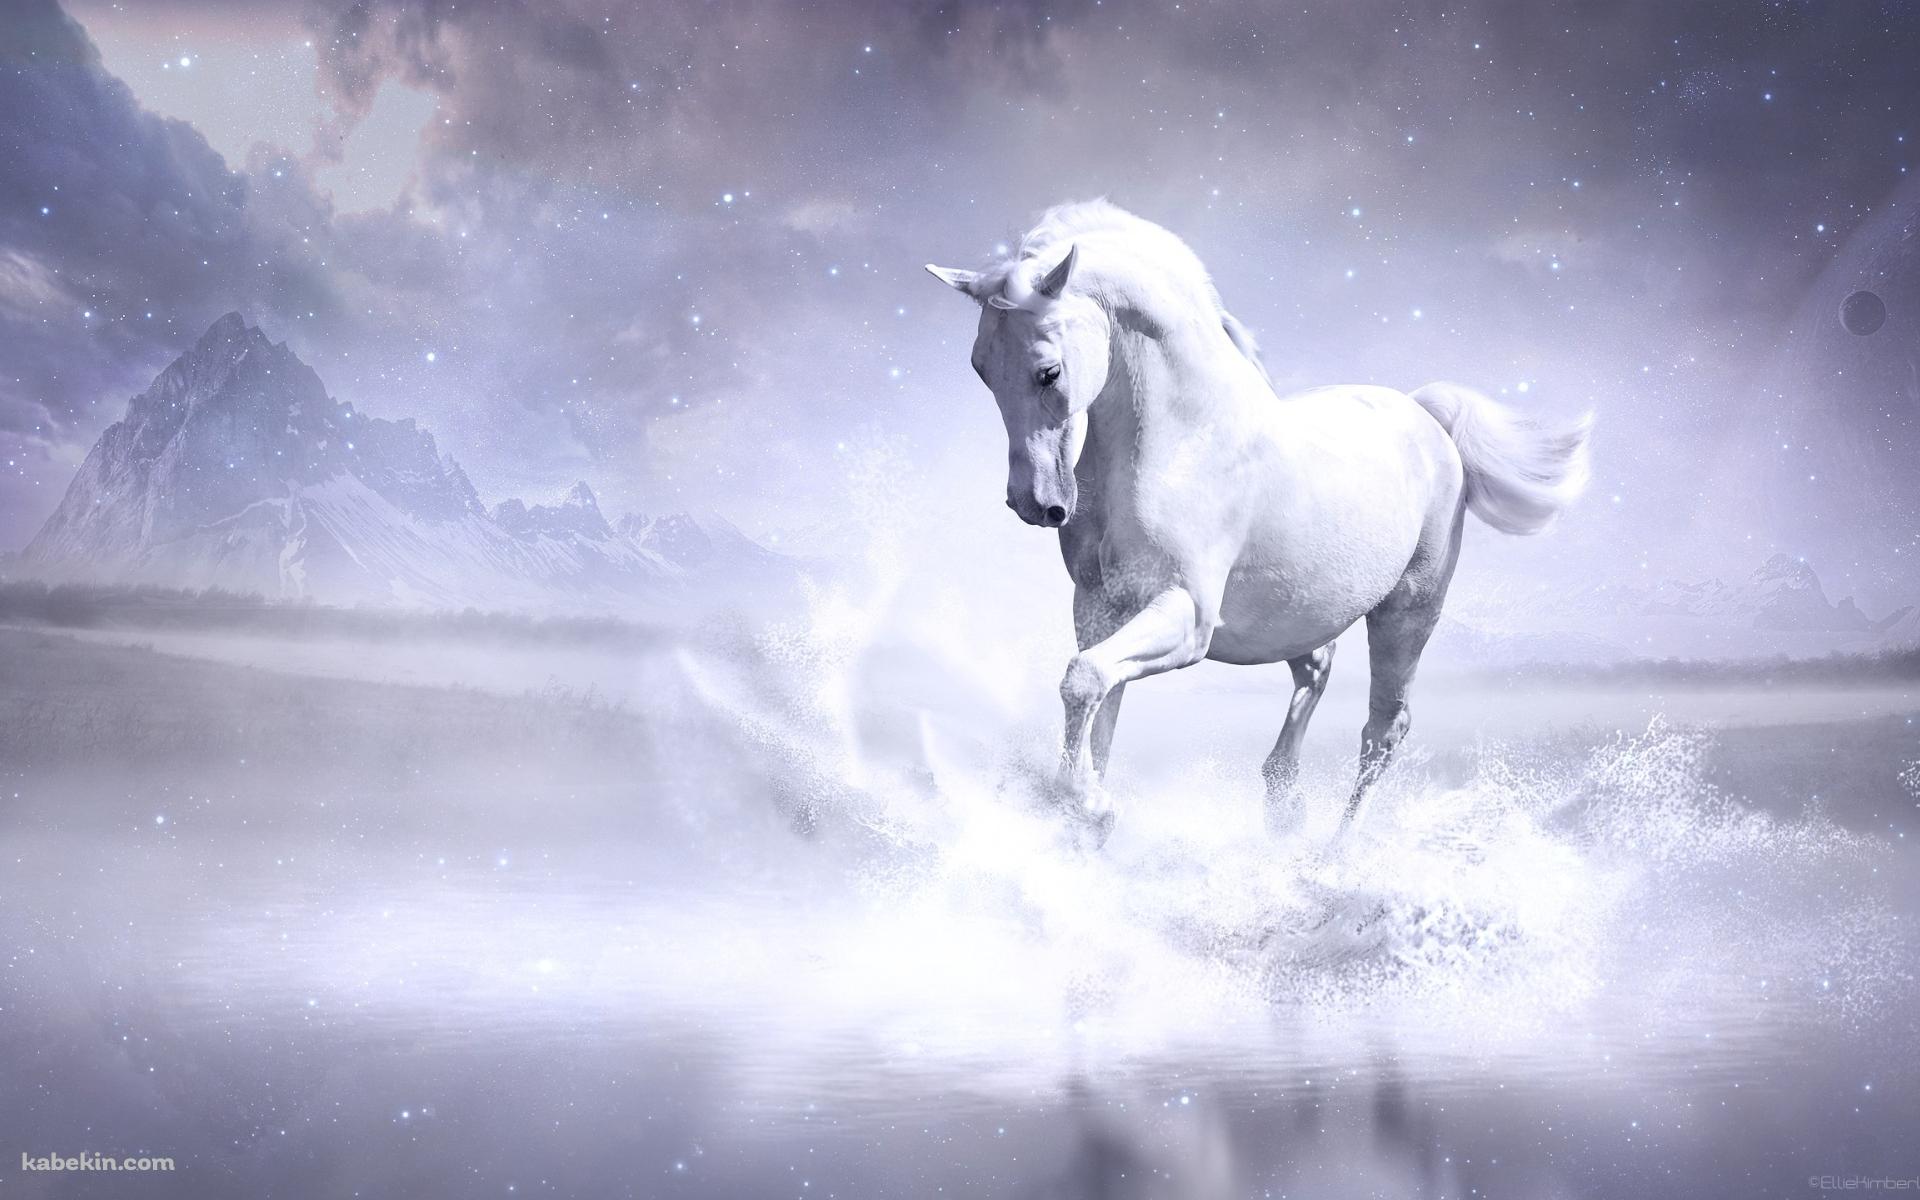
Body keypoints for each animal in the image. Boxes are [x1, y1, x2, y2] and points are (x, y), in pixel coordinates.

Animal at [926, 200, 1591, 841]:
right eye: (981, 368)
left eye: (1049, 371)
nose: (1035, 504)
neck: (1183, 441)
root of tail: (1425, 417)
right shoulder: (1099, 608)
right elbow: (1099, 704)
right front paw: (1084, 815)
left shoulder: (1186, 617)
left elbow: (1085, 681)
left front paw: (1089, 806)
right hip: (1296, 613)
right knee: (1318, 671)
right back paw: (1283, 805)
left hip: (1408, 613)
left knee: (1384, 729)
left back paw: (1332, 856)